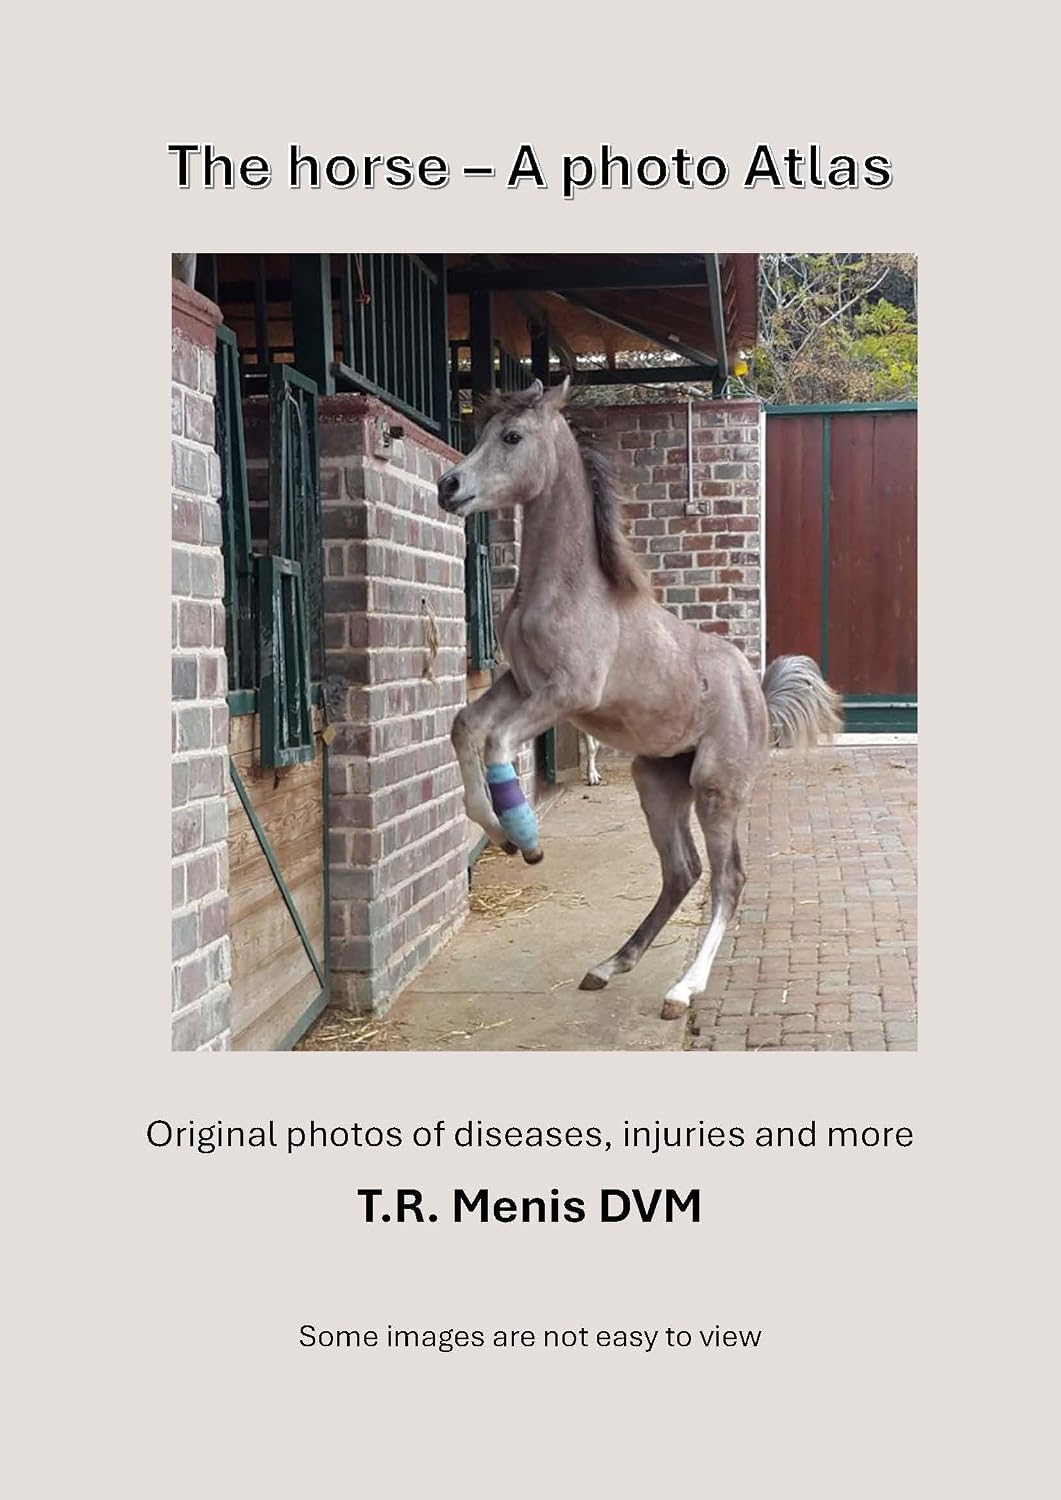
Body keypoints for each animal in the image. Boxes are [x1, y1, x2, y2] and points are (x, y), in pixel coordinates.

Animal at [438, 377, 842, 1020]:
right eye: (481, 431)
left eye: (512, 436)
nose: (449, 486)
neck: (567, 589)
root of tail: (757, 693)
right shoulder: (519, 684)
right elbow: (466, 728)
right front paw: (498, 834)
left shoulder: (565, 692)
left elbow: (496, 742)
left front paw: (526, 841)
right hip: (656, 780)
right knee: (682, 871)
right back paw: (610, 964)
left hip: (716, 788)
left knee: (727, 878)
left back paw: (683, 988)